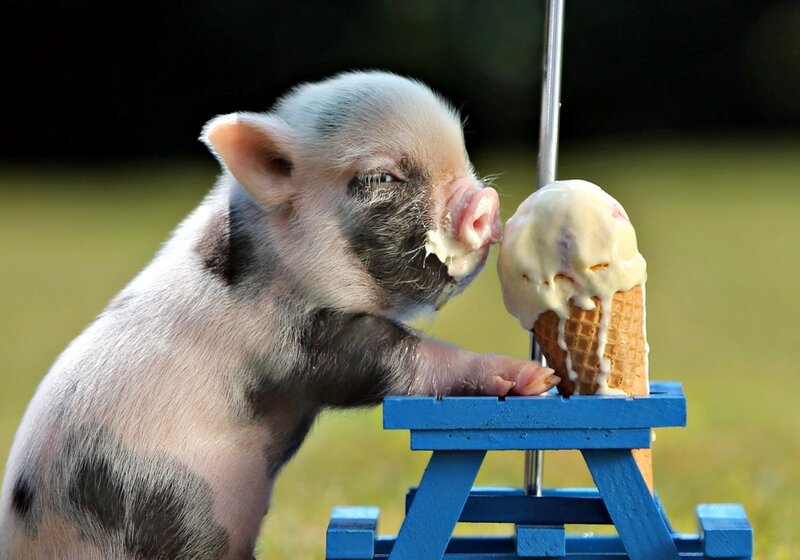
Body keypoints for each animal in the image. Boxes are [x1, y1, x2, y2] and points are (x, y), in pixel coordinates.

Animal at [0, 71, 558, 560]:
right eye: (381, 177)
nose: (485, 203)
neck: (276, 258)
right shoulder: (294, 345)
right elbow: (396, 360)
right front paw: (528, 378)